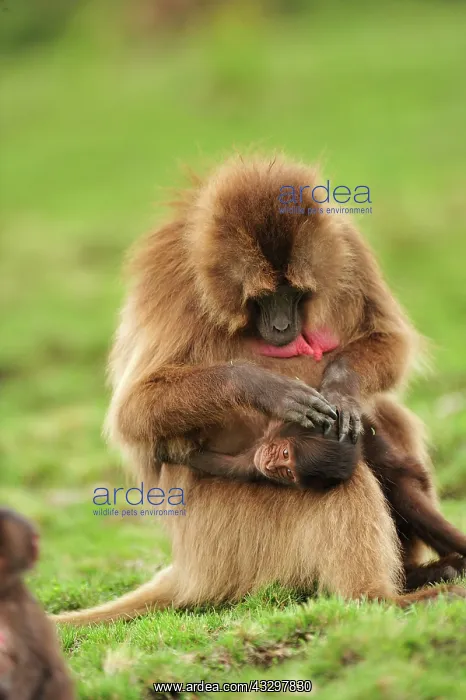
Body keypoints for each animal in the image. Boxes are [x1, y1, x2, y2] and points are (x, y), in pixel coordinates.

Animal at [53, 155, 466, 625]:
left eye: (296, 294)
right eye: (263, 298)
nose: (284, 327)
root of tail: (188, 567)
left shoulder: (348, 246)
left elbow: (387, 341)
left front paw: (340, 387)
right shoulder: (172, 286)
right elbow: (135, 412)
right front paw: (264, 388)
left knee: (385, 417)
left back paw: (420, 573)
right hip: (227, 538)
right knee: (344, 477)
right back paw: (383, 598)